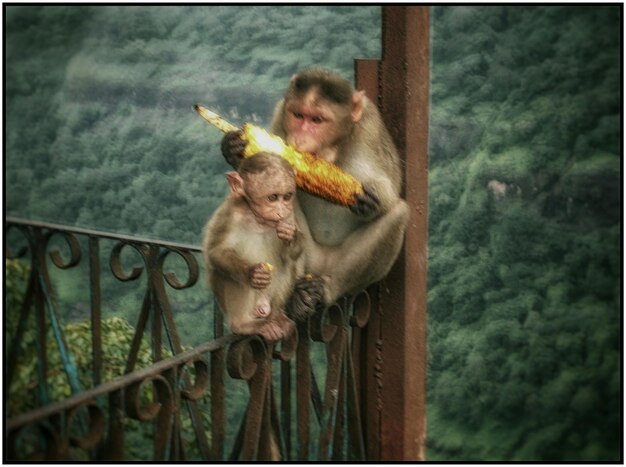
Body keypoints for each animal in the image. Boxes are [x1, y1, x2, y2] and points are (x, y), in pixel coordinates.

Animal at [202, 152, 304, 342]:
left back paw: (277, 316)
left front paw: (290, 235)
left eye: (287, 196)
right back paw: (243, 325)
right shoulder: (230, 214)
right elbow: (216, 252)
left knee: (289, 263)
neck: (258, 219)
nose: (280, 210)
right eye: (272, 197)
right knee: (233, 276)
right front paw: (253, 273)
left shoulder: (290, 214)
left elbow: (292, 253)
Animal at [222, 67, 408, 320]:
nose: (300, 138)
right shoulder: (281, 113)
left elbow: (392, 185)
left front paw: (372, 201)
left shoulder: (371, 127)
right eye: (298, 115)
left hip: (340, 266)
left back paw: (325, 289)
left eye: (317, 120)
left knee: (398, 213)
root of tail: (320, 267)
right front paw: (233, 149)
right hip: (307, 260)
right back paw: (298, 297)